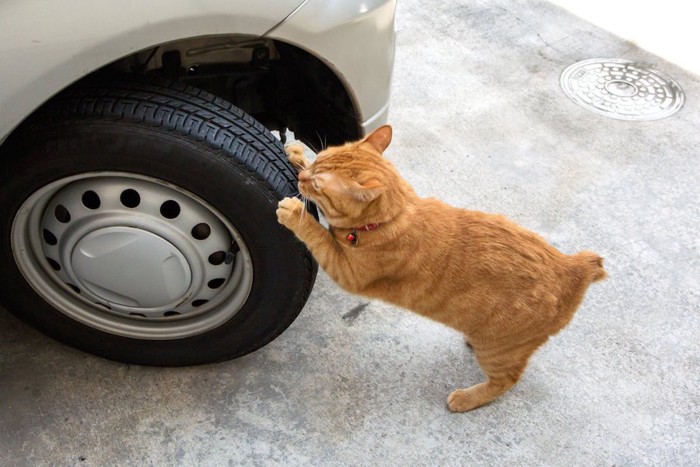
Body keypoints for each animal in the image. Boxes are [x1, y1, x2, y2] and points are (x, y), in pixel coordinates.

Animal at [276, 125, 604, 414]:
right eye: (320, 157)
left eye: (319, 184)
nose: (303, 177)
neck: (395, 214)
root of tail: (573, 267)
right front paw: (297, 154)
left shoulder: (347, 271)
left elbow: (318, 235)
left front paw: (295, 212)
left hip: (498, 349)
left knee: (507, 380)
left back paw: (467, 399)